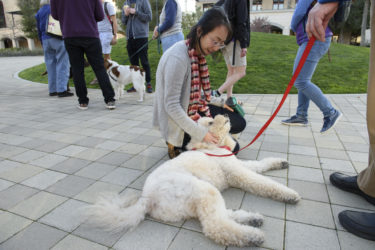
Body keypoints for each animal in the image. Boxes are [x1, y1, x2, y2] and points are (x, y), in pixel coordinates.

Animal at [86, 115, 302, 248]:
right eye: (210, 123)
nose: (225, 114)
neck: (211, 146)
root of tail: (146, 200)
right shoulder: (238, 173)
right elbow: (263, 183)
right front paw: (289, 194)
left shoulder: (239, 165)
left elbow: (260, 165)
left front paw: (279, 162)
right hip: (202, 189)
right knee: (215, 226)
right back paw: (252, 235)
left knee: (220, 215)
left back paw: (252, 219)